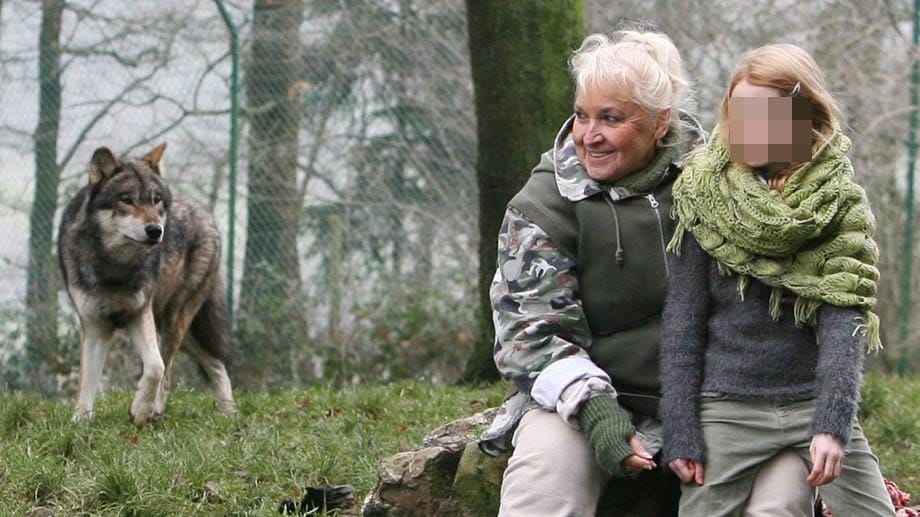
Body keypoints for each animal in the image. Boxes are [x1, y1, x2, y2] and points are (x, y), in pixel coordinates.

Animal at [58, 143, 237, 426]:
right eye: (126, 200)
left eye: (155, 200)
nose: (155, 230)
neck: (115, 267)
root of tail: (206, 213)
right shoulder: (95, 326)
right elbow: (87, 382)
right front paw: (80, 422)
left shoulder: (139, 315)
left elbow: (155, 367)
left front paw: (140, 408)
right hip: (177, 329)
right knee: (214, 361)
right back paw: (228, 412)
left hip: (174, 322)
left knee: (171, 372)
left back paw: (158, 411)